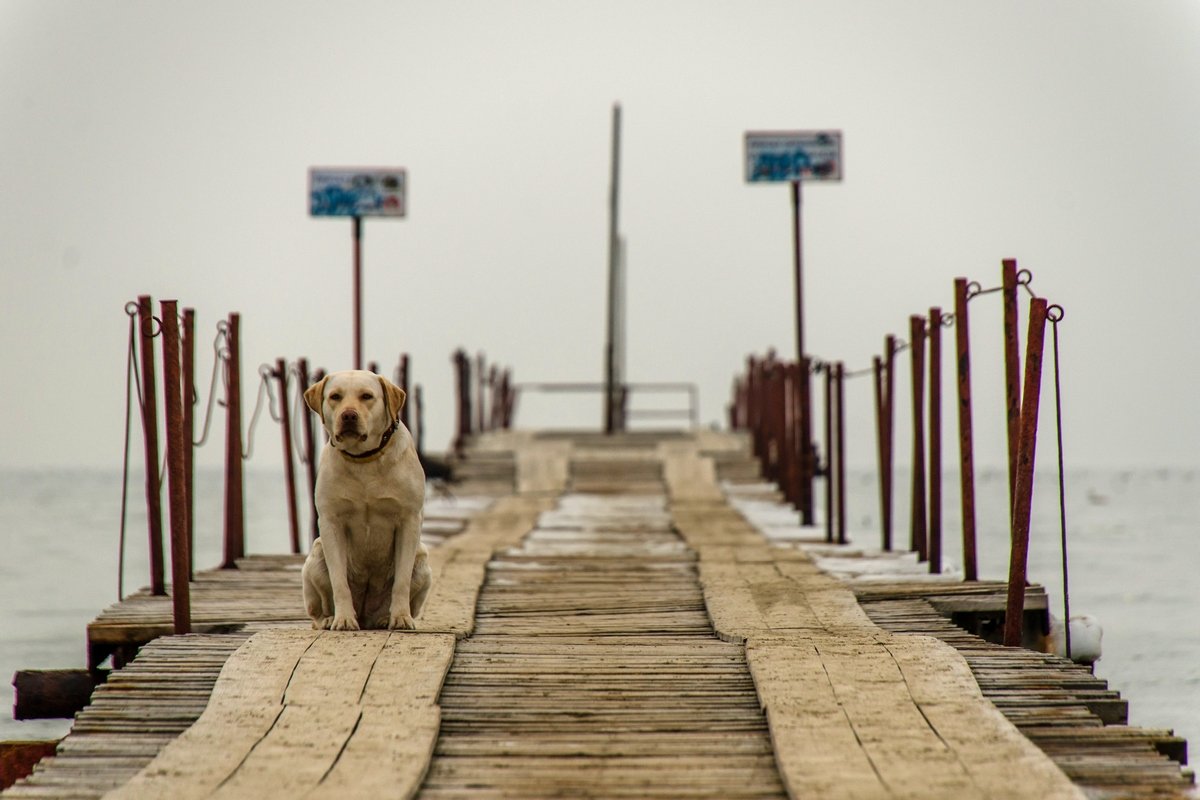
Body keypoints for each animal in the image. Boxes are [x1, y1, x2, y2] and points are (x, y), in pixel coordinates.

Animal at [300, 371, 432, 633]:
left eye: (366, 396)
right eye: (335, 396)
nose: (349, 415)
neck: (363, 460)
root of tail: (365, 615)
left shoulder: (409, 519)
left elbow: (401, 581)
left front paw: (401, 618)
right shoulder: (330, 522)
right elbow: (339, 580)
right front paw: (343, 619)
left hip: (422, 560)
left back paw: (384, 618)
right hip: (315, 556)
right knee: (316, 612)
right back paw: (330, 619)